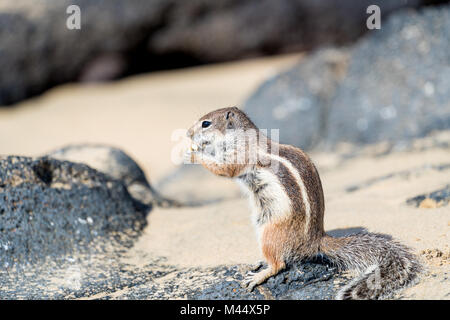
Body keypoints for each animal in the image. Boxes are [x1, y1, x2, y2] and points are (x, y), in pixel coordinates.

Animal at [185, 107, 422, 300]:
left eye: (206, 123)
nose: (188, 133)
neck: (243, 138)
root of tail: (315, 240)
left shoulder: (240, 156)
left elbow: (224, 169)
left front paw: (193, 153)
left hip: (270, 233)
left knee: (279, 264)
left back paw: (259, 275)